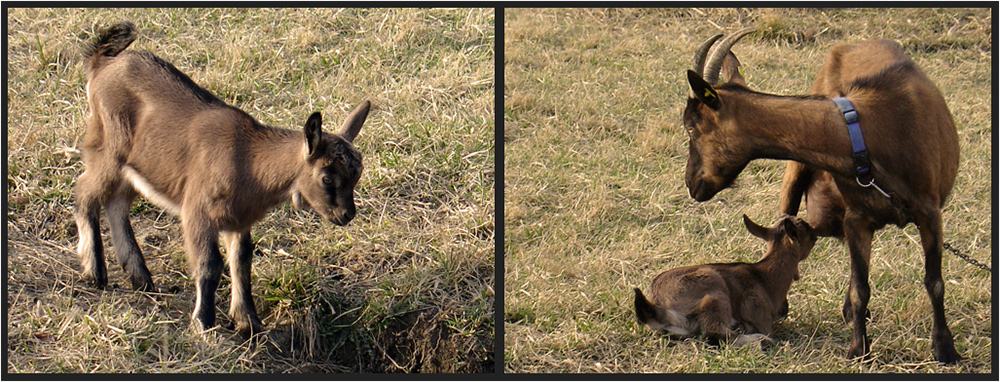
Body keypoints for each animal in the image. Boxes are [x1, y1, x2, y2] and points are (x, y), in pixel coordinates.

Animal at [75, 21, 372, 334]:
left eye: (357, 175)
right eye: (327, 178)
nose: (346, 214)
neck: (249, 161)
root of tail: (101, 63)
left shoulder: (239, 220)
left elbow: (241, 263)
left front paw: (248, 320)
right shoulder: (198, 211)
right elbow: (210, 265)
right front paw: (203, 321)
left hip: (132, 168)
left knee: (116, 203)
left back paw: (139, 276)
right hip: (109, 148)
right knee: (85, 193)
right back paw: (95, 271)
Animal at [636, 215, 816, 346]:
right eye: (808, 230)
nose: (816, 232)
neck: (764, 277)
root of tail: (656, 306)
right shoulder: (761, 318)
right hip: (714, 291)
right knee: (717, 335)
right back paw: (761, 341)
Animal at [684, 28, 964, 362]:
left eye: (691, 127)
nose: (691, 184)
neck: (868, 133)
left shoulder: (929, 213)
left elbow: (934, 282)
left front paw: (945, 348)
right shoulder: (857, 217)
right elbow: (861, 288)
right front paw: (858, 348)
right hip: (796, 176)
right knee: (782, 227)